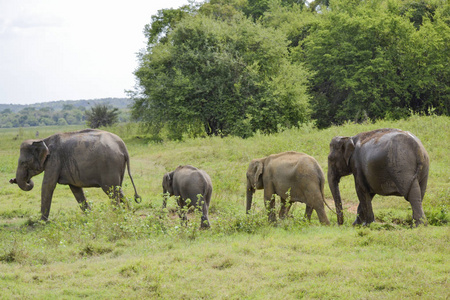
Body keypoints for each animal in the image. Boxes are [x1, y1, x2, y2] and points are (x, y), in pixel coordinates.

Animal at [10, 129, 141, 220]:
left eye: (23, 163)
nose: (12, 180)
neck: (43, 140)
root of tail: (123, 146)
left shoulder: (54, 160)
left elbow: (48, 185)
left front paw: (41, 222)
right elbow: (76, 189)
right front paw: (91, 217)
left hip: (110, 165)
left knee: (111, 190)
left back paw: (117, 216)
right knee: (118, 189)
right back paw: (129, 213)